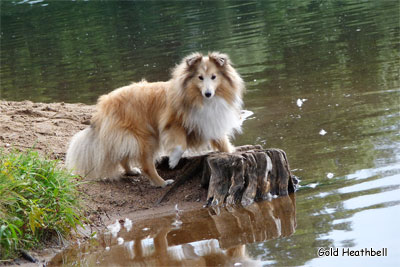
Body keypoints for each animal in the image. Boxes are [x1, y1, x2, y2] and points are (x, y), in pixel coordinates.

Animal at [66, 51, 244, 187]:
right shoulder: (172, 124)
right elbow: (180, 144)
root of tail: (103, 106)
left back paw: (131, 171)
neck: (198, 98)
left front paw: (231, 154)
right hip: (146, 137)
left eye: (213, 77)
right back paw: (162, 183)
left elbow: (223, 143)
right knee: (147, 166)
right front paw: (173, 162)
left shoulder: (210, 123)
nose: (208, 93)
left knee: (123, 155)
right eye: (200, 77)